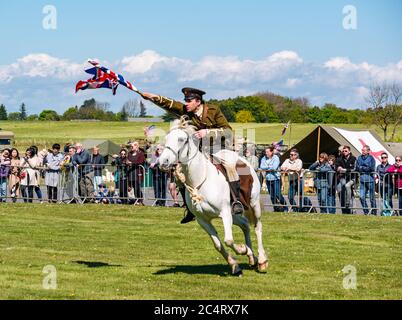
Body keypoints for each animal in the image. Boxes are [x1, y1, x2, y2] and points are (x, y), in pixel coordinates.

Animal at [159, 119, 268, 276]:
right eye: (167, 138)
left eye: (181, 139)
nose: (163, 162)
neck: (200, 179)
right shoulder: (203, 220)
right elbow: (218, 245)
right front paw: (235, 265)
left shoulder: (225, 213)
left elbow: (228, 240)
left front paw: (241, 249)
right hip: (234, 214)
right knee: (245, 224)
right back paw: (252, 257)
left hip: (253, 205)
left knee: (257, 227)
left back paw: (262, 260)